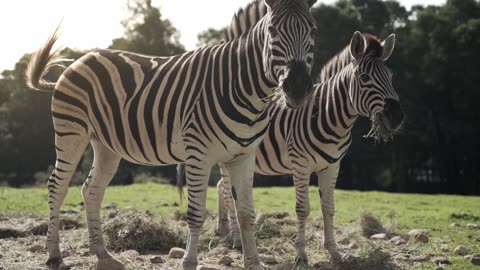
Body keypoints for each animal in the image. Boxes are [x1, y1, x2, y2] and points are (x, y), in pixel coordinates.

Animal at [26, 1, 318, 268]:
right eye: (273, 31)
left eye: (313, 30)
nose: (297, 89)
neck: (243, 86)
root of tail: (80, 59)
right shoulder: (199, 153)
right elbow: (197, 212)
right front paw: (189, 261)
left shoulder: (244, 156)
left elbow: (247, 213)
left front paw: (253, 262)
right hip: (71, 131)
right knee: (57, 186)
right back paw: (55, 254)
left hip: (106, 145)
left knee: (91, 190)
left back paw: (103, 255)